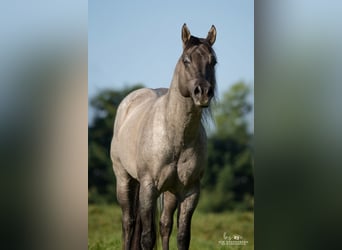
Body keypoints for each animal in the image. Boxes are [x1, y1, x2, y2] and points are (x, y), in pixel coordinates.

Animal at [111, 23, 218, 250]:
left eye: (213, 61)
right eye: (186, 60)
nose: (203, 92)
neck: (177, 136)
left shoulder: (190, 192)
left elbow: (182, 236)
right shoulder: (148, 187)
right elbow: (147, 237)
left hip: (169, 192)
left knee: (165, 225)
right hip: (124, 179)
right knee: (128, 223)